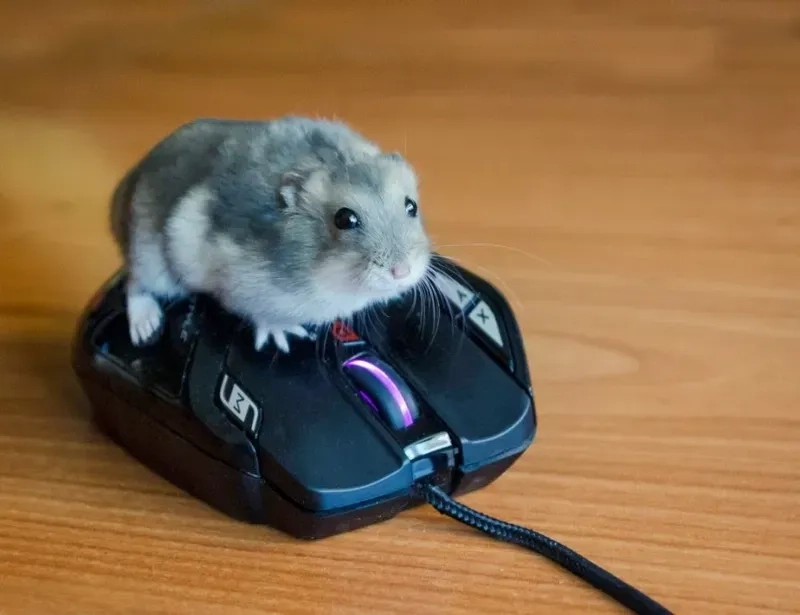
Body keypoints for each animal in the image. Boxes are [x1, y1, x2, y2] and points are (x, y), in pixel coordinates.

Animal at [109, 116, 432, 353]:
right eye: (345, 219)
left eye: (412, 206)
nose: (402, 272)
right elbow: (262, 316)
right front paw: (285, 336)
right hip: (151, 258)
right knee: (134, 284)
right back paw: (145, 328)